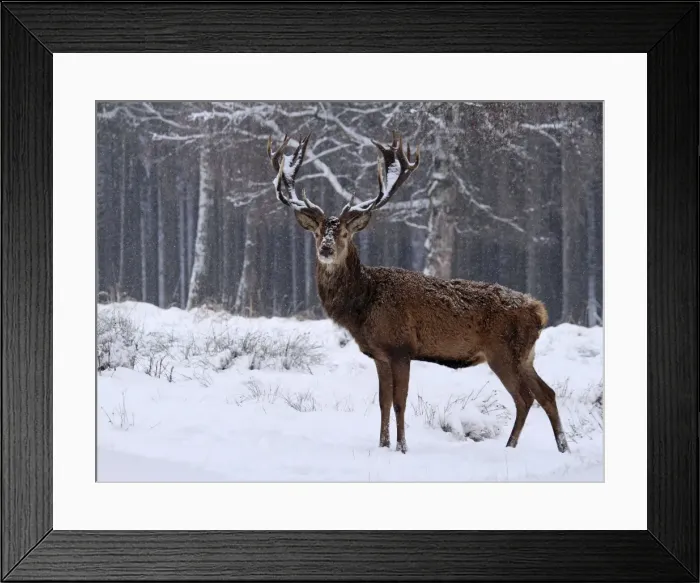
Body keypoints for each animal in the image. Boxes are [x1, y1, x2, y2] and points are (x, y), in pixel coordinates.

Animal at [266, 130, 570, 455]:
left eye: (346, 233)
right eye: (318, 232)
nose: (326, 249)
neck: (363, 305)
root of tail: (539, 311)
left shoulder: (401, 348)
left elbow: (400, 402)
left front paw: (402, 447)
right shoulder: (379, 354)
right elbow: (383, 402)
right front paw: (383, 445)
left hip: (504, 352)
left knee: (525, 398)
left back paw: (513, 447)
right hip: (525, 356)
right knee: (547, 393)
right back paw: (560, 447)